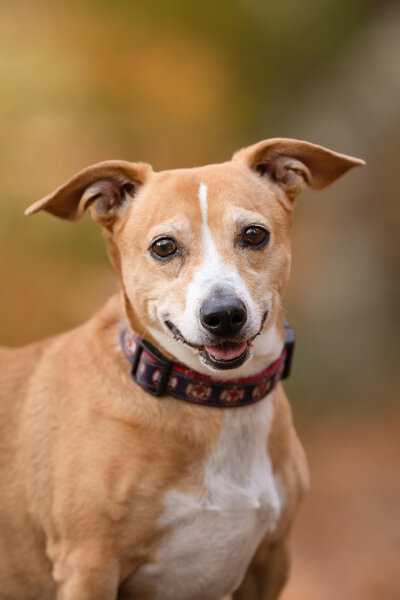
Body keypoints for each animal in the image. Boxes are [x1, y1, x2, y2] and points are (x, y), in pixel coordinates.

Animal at [0, 139, 362, 600]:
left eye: (254, 234)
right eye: (164, 247)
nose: (224, 315)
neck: (215, 403)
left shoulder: (270, 562)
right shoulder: (88, 567)